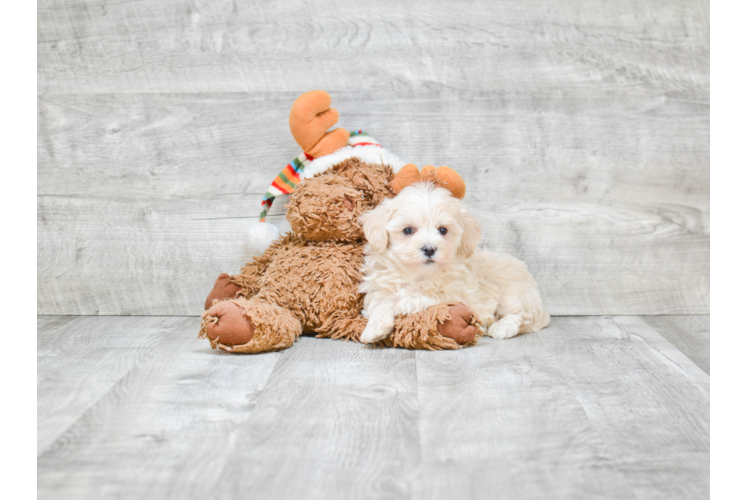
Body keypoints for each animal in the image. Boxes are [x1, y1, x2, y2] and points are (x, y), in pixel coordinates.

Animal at [356, 183, 548, 344]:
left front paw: (409, 301)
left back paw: (501, 326)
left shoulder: (463, 294)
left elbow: (437, 294)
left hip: (512, 292)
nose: (429, 248)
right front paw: (374, 330)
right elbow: (380, 304)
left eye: (443, 230)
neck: (419, 275)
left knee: (523, 316)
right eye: (408, 230)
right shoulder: (380, 288)